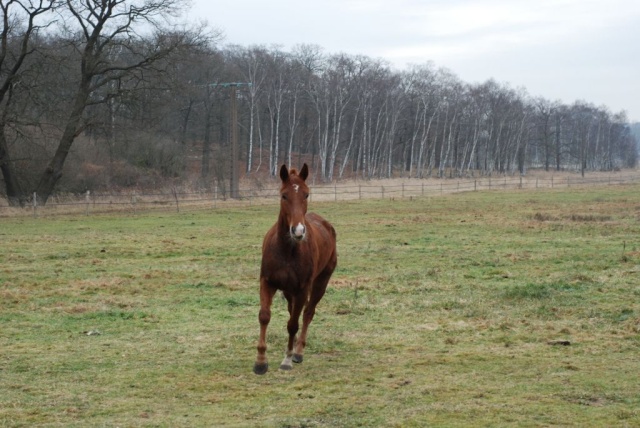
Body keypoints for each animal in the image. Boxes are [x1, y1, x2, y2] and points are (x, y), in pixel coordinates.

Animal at [252, 164, 338, 374]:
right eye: (284, 195)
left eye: (306, 194)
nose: (298, 231)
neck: (287, 250)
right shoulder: (267, 282)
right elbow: (264, 316)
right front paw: (260, 361)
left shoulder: (302, 289)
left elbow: (293, 324)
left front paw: (287, 359)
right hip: (289, 291)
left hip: (320, 282)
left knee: (307, 313)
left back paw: (298, 351)